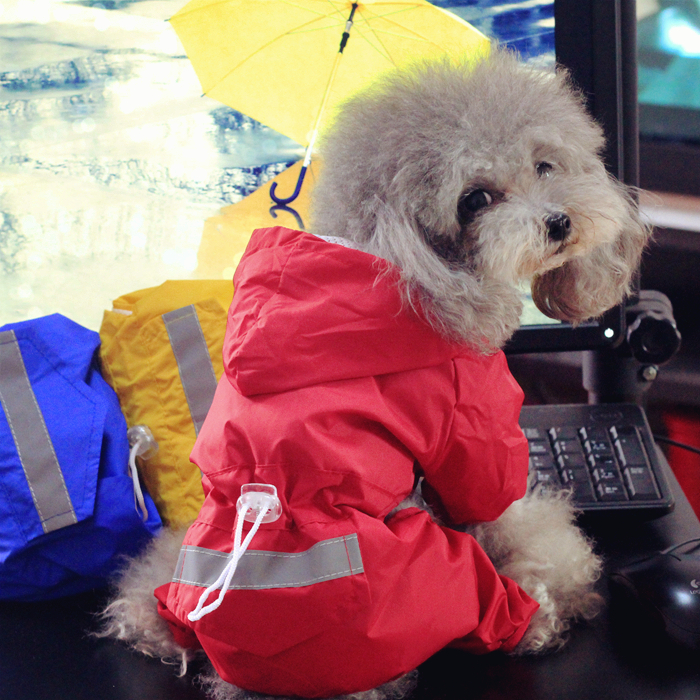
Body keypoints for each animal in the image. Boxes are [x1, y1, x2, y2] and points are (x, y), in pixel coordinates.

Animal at [98, 50, 652, 700]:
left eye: (545, 165)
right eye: (474, 200)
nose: (559, 222)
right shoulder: (471, 427)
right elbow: (502, 503)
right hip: (435, 576)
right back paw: (542, 613)